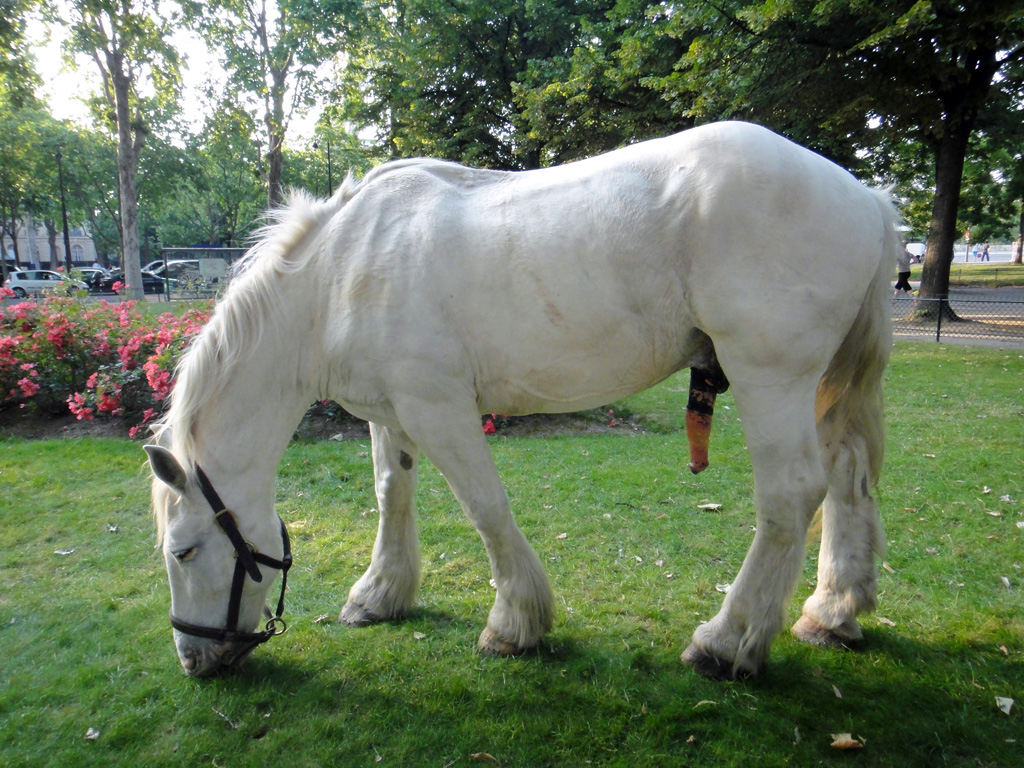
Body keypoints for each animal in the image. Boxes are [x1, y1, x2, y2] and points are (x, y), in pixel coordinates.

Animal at [146, 123, 897, 684]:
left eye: (182, 551)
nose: (193, 659)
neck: (340, 273)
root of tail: (866, 196)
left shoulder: (437, 407)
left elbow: (484, 506)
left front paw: (514, 623)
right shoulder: (391, 413)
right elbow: (393, 492)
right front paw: (380, 594)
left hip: (771, 376)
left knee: (791, 496)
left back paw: (726, 640)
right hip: (822, 384)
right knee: (847, 481)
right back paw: (832, 613)